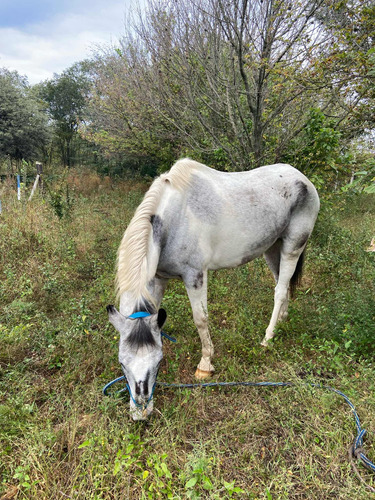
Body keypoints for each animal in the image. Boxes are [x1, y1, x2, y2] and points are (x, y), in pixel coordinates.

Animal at [108, 158, 320, 420]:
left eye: (157, 361)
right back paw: (282, 321)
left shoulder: (195, 275)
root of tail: (303, 179)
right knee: (284, 282)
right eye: (122, 363)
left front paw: (205, 365)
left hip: (292, 247)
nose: (141, 413)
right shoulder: (158, 278)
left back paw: (268, 338)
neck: (175, 219)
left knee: (280, 291)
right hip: (273, 248)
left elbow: (201, 319)